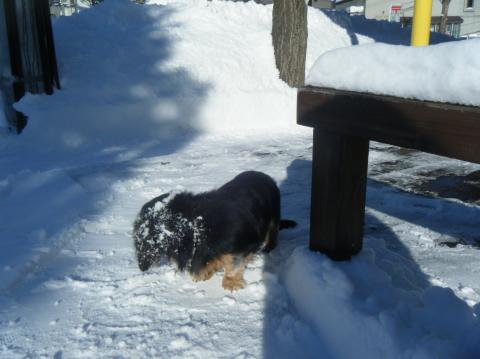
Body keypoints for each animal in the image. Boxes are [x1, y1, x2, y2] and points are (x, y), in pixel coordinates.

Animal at [132, 172, 296, 292]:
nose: (142, 267)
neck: (199, 225)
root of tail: (265, 176)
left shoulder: (242, 245)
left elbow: (234, 264)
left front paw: (230, 283)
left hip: (274, 214)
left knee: (273, 232)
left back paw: (269, 247)